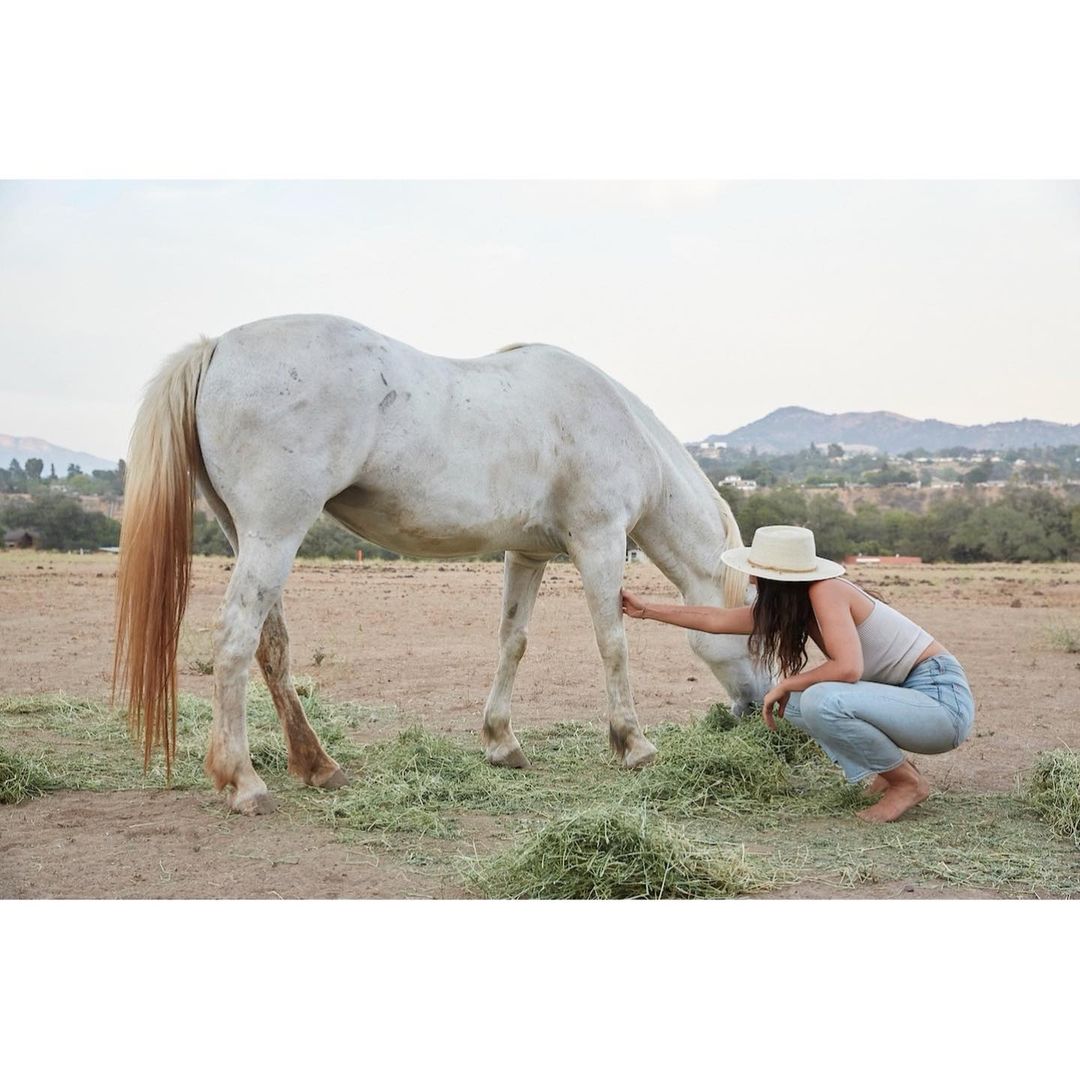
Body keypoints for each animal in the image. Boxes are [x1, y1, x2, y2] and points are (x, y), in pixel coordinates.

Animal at [114, 313, 771, 814]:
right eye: (754, 632)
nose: (753, 709)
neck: (619, 425)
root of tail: (218, 346)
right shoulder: (600, 540)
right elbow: (613, 642)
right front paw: (634, 745)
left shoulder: (527, 554)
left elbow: (513, 641)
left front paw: (501, 743)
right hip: (275, 534)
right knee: (234, 640)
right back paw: (245, 782)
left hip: (248, 536)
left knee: (271, 647)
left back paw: (318, 765)